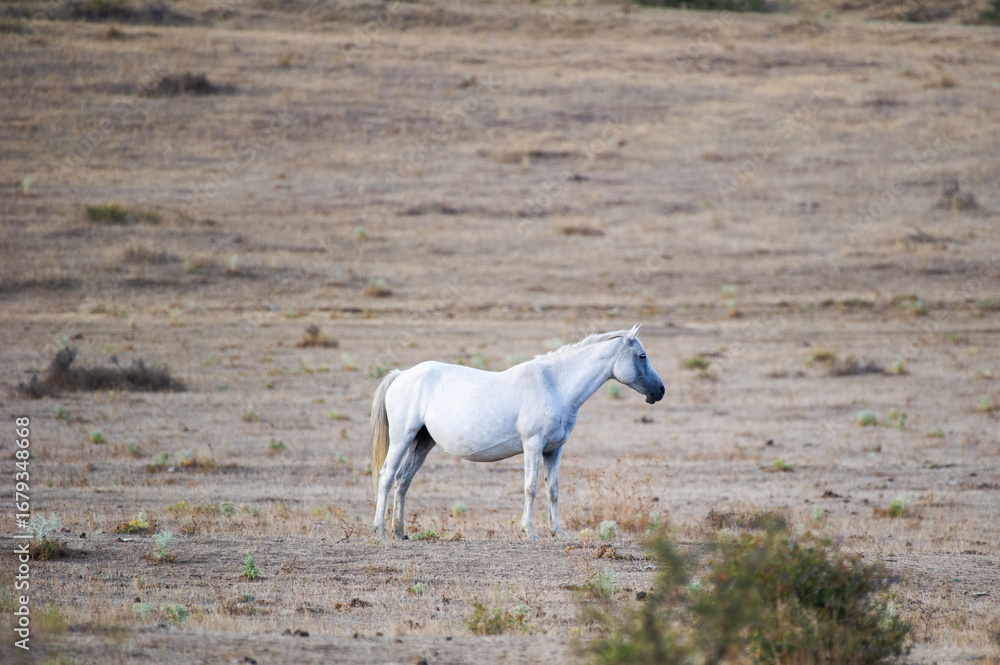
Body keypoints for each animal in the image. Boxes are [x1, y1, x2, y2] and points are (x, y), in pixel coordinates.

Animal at [369, 324, 665, 540]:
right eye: (642, 356)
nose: (660, 391)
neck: (555, 384)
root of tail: (401, 375)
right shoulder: (532, 445)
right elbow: (530, 487)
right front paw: (530, 531)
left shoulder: (554, 450)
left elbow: (552, 489)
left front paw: (558, 532)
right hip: (402, 439)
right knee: (387, 477)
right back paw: (380, 531)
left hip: (422, 442)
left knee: (403, 480)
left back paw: (400, 532)